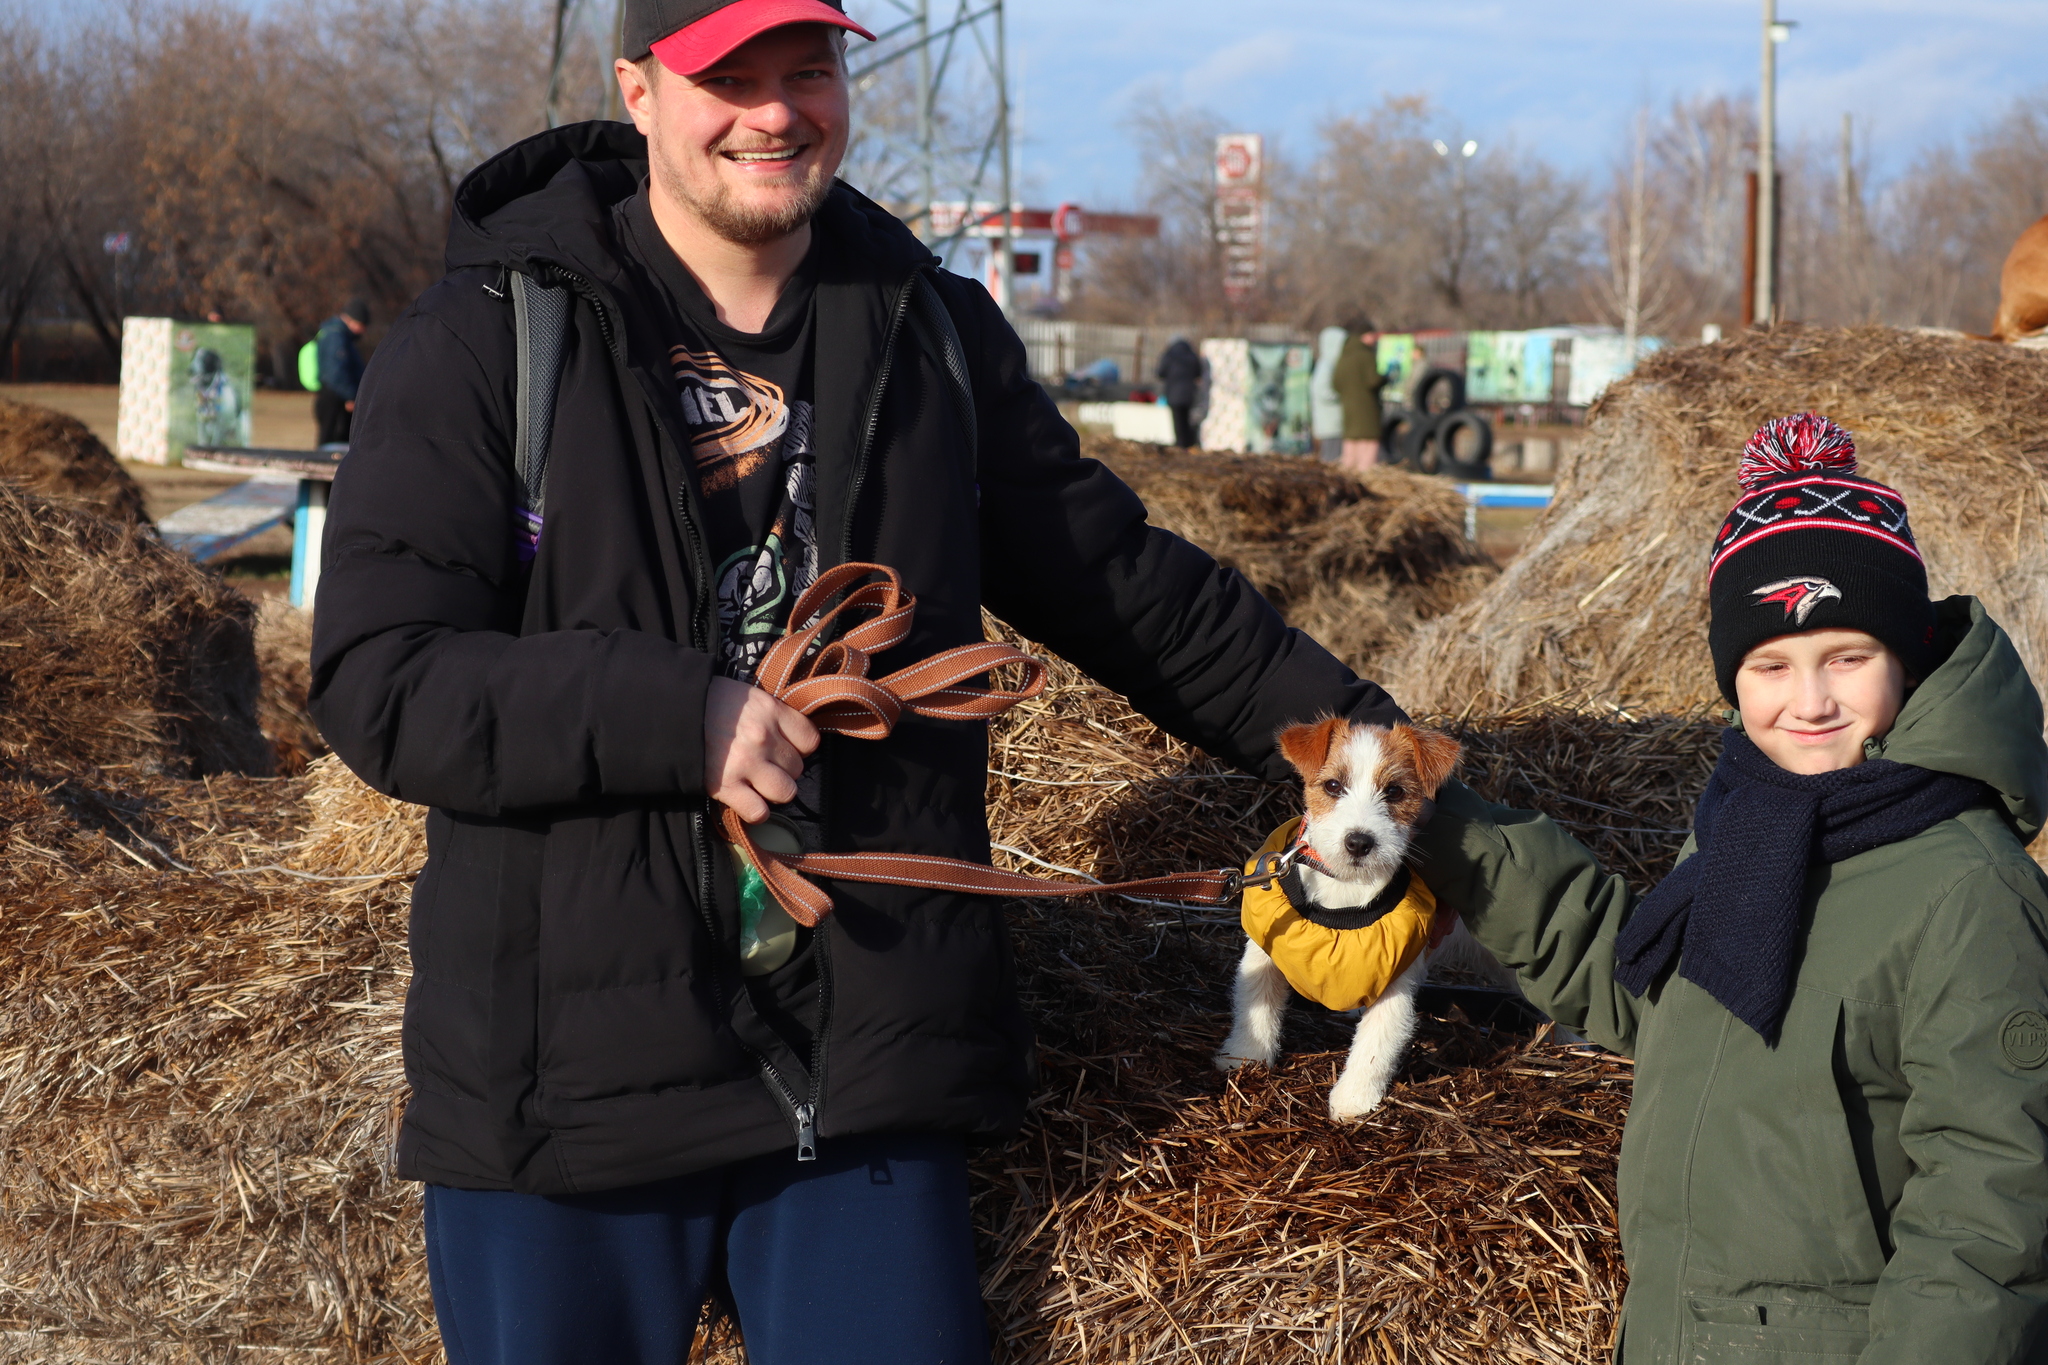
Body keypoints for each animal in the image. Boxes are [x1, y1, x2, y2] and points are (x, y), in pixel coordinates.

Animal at [1204, 716, 1499, 1121]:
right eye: (1332, 785)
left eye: (1394, 791)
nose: (1359, 842)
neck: (1344, 889)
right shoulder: (1265, 950)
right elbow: (1256, 1003)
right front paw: (1244, 1057)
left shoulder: (1397, 978)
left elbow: (1378, 1041)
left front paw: (1354, 1100)